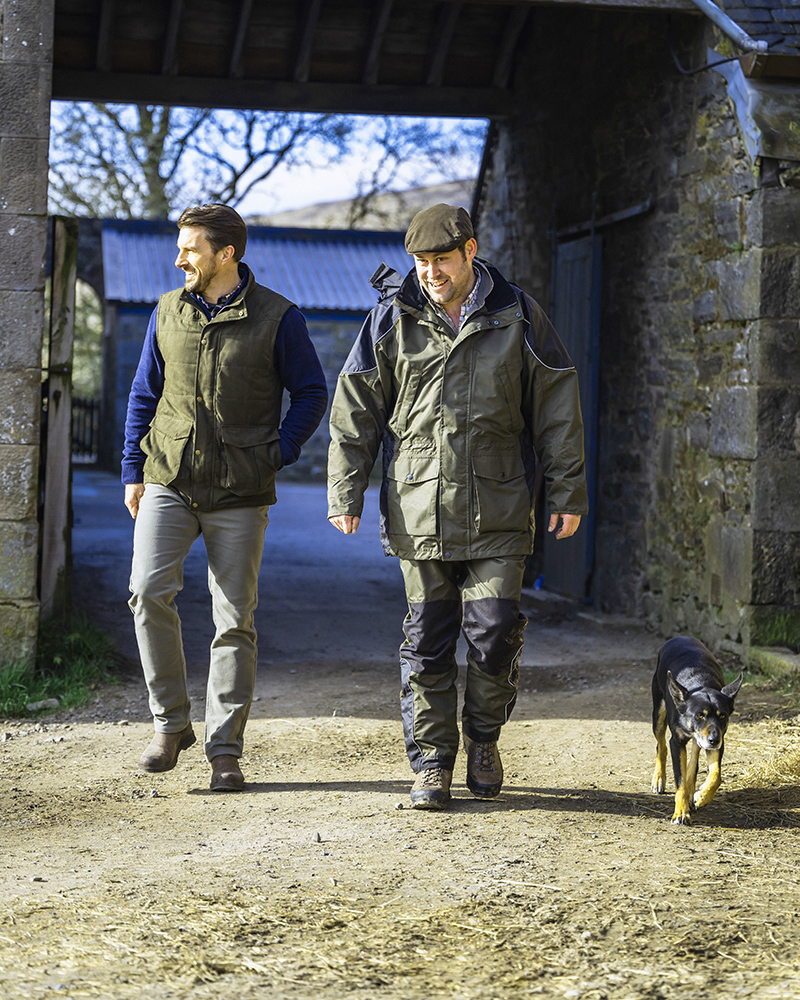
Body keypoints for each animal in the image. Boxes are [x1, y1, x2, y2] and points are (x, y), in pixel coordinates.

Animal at [648, 636, 744, 824]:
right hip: (658, 714)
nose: (714, 740)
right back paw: (659, 779)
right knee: (661, 745)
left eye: (722, 716)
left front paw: (701, 797)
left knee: (693, 760)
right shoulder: (677, 742)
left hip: (700, 739)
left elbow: (715, 776)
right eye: (700, 715)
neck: (700, 684)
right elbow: (680, 781)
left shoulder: (718, 741)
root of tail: (680, 637)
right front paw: (681, 813)